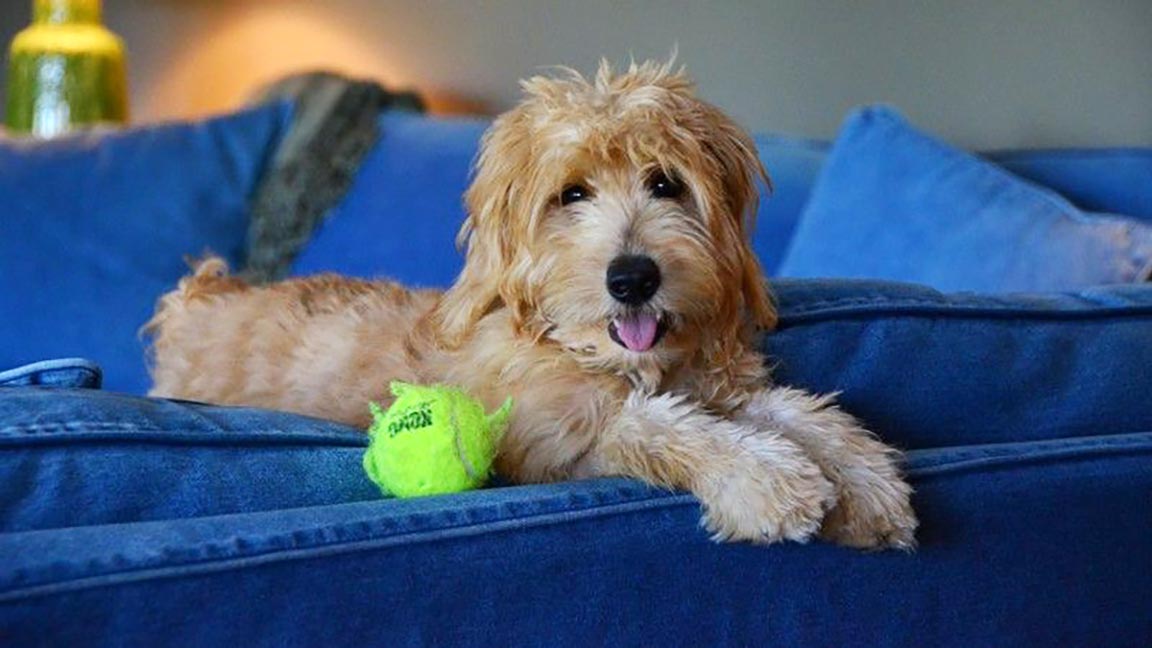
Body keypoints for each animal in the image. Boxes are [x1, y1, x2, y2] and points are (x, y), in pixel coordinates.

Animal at [146, 59, 916, 544]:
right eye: (571, 193)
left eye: (665, 182)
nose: (632, 278)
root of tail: (205, 290)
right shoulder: (551, 443)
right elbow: (658, 427)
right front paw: (765, 478)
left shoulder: (715, 384)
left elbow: (796, 409)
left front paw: (866, 480)